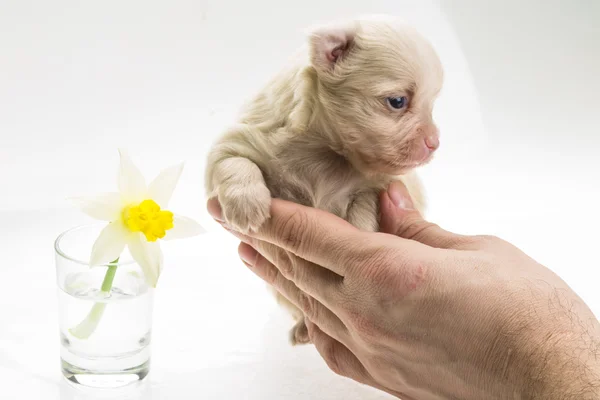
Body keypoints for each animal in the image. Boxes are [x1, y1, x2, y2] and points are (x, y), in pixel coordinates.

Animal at [204, 16, 442, 344]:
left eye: (433, 103)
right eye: (397, 101)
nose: (435, 143)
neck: (325, 152)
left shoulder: (380, 184)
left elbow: (365, 205)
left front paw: (360, 232)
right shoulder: (237, 140)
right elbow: (233, 161)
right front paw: (247, 206)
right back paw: (303, 328)